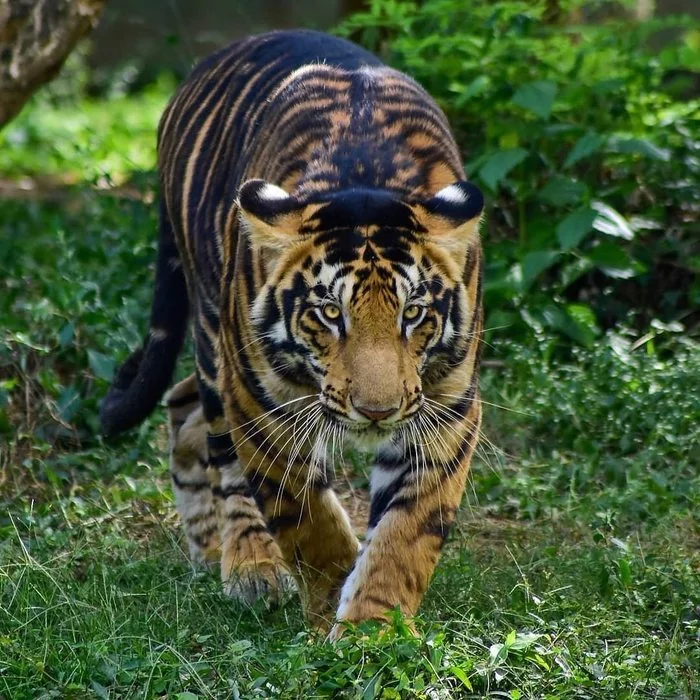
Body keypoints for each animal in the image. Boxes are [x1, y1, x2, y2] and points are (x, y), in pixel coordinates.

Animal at [101, 30, 484, 636]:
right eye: (330, 313)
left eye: (413, 314)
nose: (377, 412)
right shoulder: (262, 403)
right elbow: (306, 518)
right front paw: (330, 603)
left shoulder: (446, 410)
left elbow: (405, 535)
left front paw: (372, 631)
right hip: (216, 341)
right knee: (222, 454)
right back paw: (249, 565)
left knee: (180, 403)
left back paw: (207, 547)